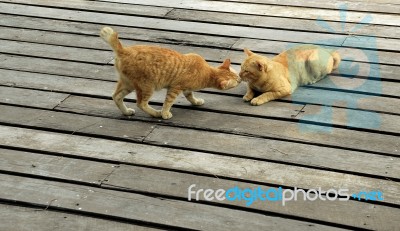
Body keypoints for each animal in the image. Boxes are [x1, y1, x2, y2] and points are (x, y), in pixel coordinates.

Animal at [100, 26, 241, 119]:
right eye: (236, 80)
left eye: (237, 76)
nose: (240, 79)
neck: (206, 72)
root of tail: (124, 50)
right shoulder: (175, 88)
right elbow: (168, 102)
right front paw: (165, 113)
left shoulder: (186, 88)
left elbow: (190, 96)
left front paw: (196, 101)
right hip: (146, 86)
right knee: (141, 103)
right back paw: (156, 113)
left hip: (128, 84)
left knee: (116, 96)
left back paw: (126, 112)